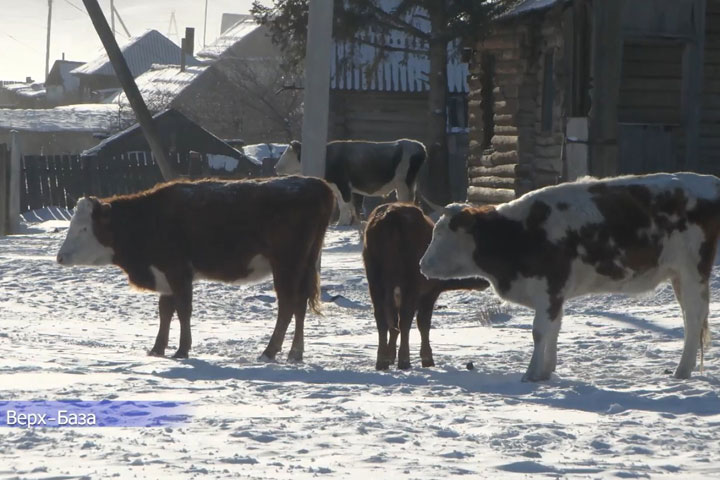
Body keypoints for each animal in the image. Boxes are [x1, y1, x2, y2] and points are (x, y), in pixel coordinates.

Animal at [57, 175, 336, 360]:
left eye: (84, 228)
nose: (60, 257)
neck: (148, 219)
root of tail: (315, 183)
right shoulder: (164, 275)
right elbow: (165, 311)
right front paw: (157, 349)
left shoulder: (178, 271)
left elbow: (183, 310)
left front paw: (182, 350)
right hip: (303, 266)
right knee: (299, 304)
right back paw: (295, 353)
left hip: (287, 264)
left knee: (287, 305)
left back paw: (270, 351)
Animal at [272, 139, 424, 225]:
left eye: (288, 153)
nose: (275, 167)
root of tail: (418, 146)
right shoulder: (339, 187)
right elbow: (346, 205)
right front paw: (347, 222)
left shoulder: (343, 184)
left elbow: (345, 204)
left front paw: (342, 223)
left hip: (404, 184)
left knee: (406, 200)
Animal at [360, 204, 490, 370]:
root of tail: (392, 214)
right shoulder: (429, 294)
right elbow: (423, 323)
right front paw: (427, 358)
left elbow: (393, 324)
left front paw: (390, 356)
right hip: (409, 286)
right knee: (405, 320)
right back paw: (404, 361)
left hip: (375, 282)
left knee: (382, 318)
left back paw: (381, 361)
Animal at [420, 172, 716, 382]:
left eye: (442, 233)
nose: (422, 265)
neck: (518, 232)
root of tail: (707, 181)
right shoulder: (555, 293)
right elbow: (554, 329)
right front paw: (546, 371)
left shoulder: (548, 288)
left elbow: (539, 332)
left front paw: (531, 374)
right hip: (678, 276)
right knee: (690, 319)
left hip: (692, 271)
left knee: (694, 318)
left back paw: (681, 371)